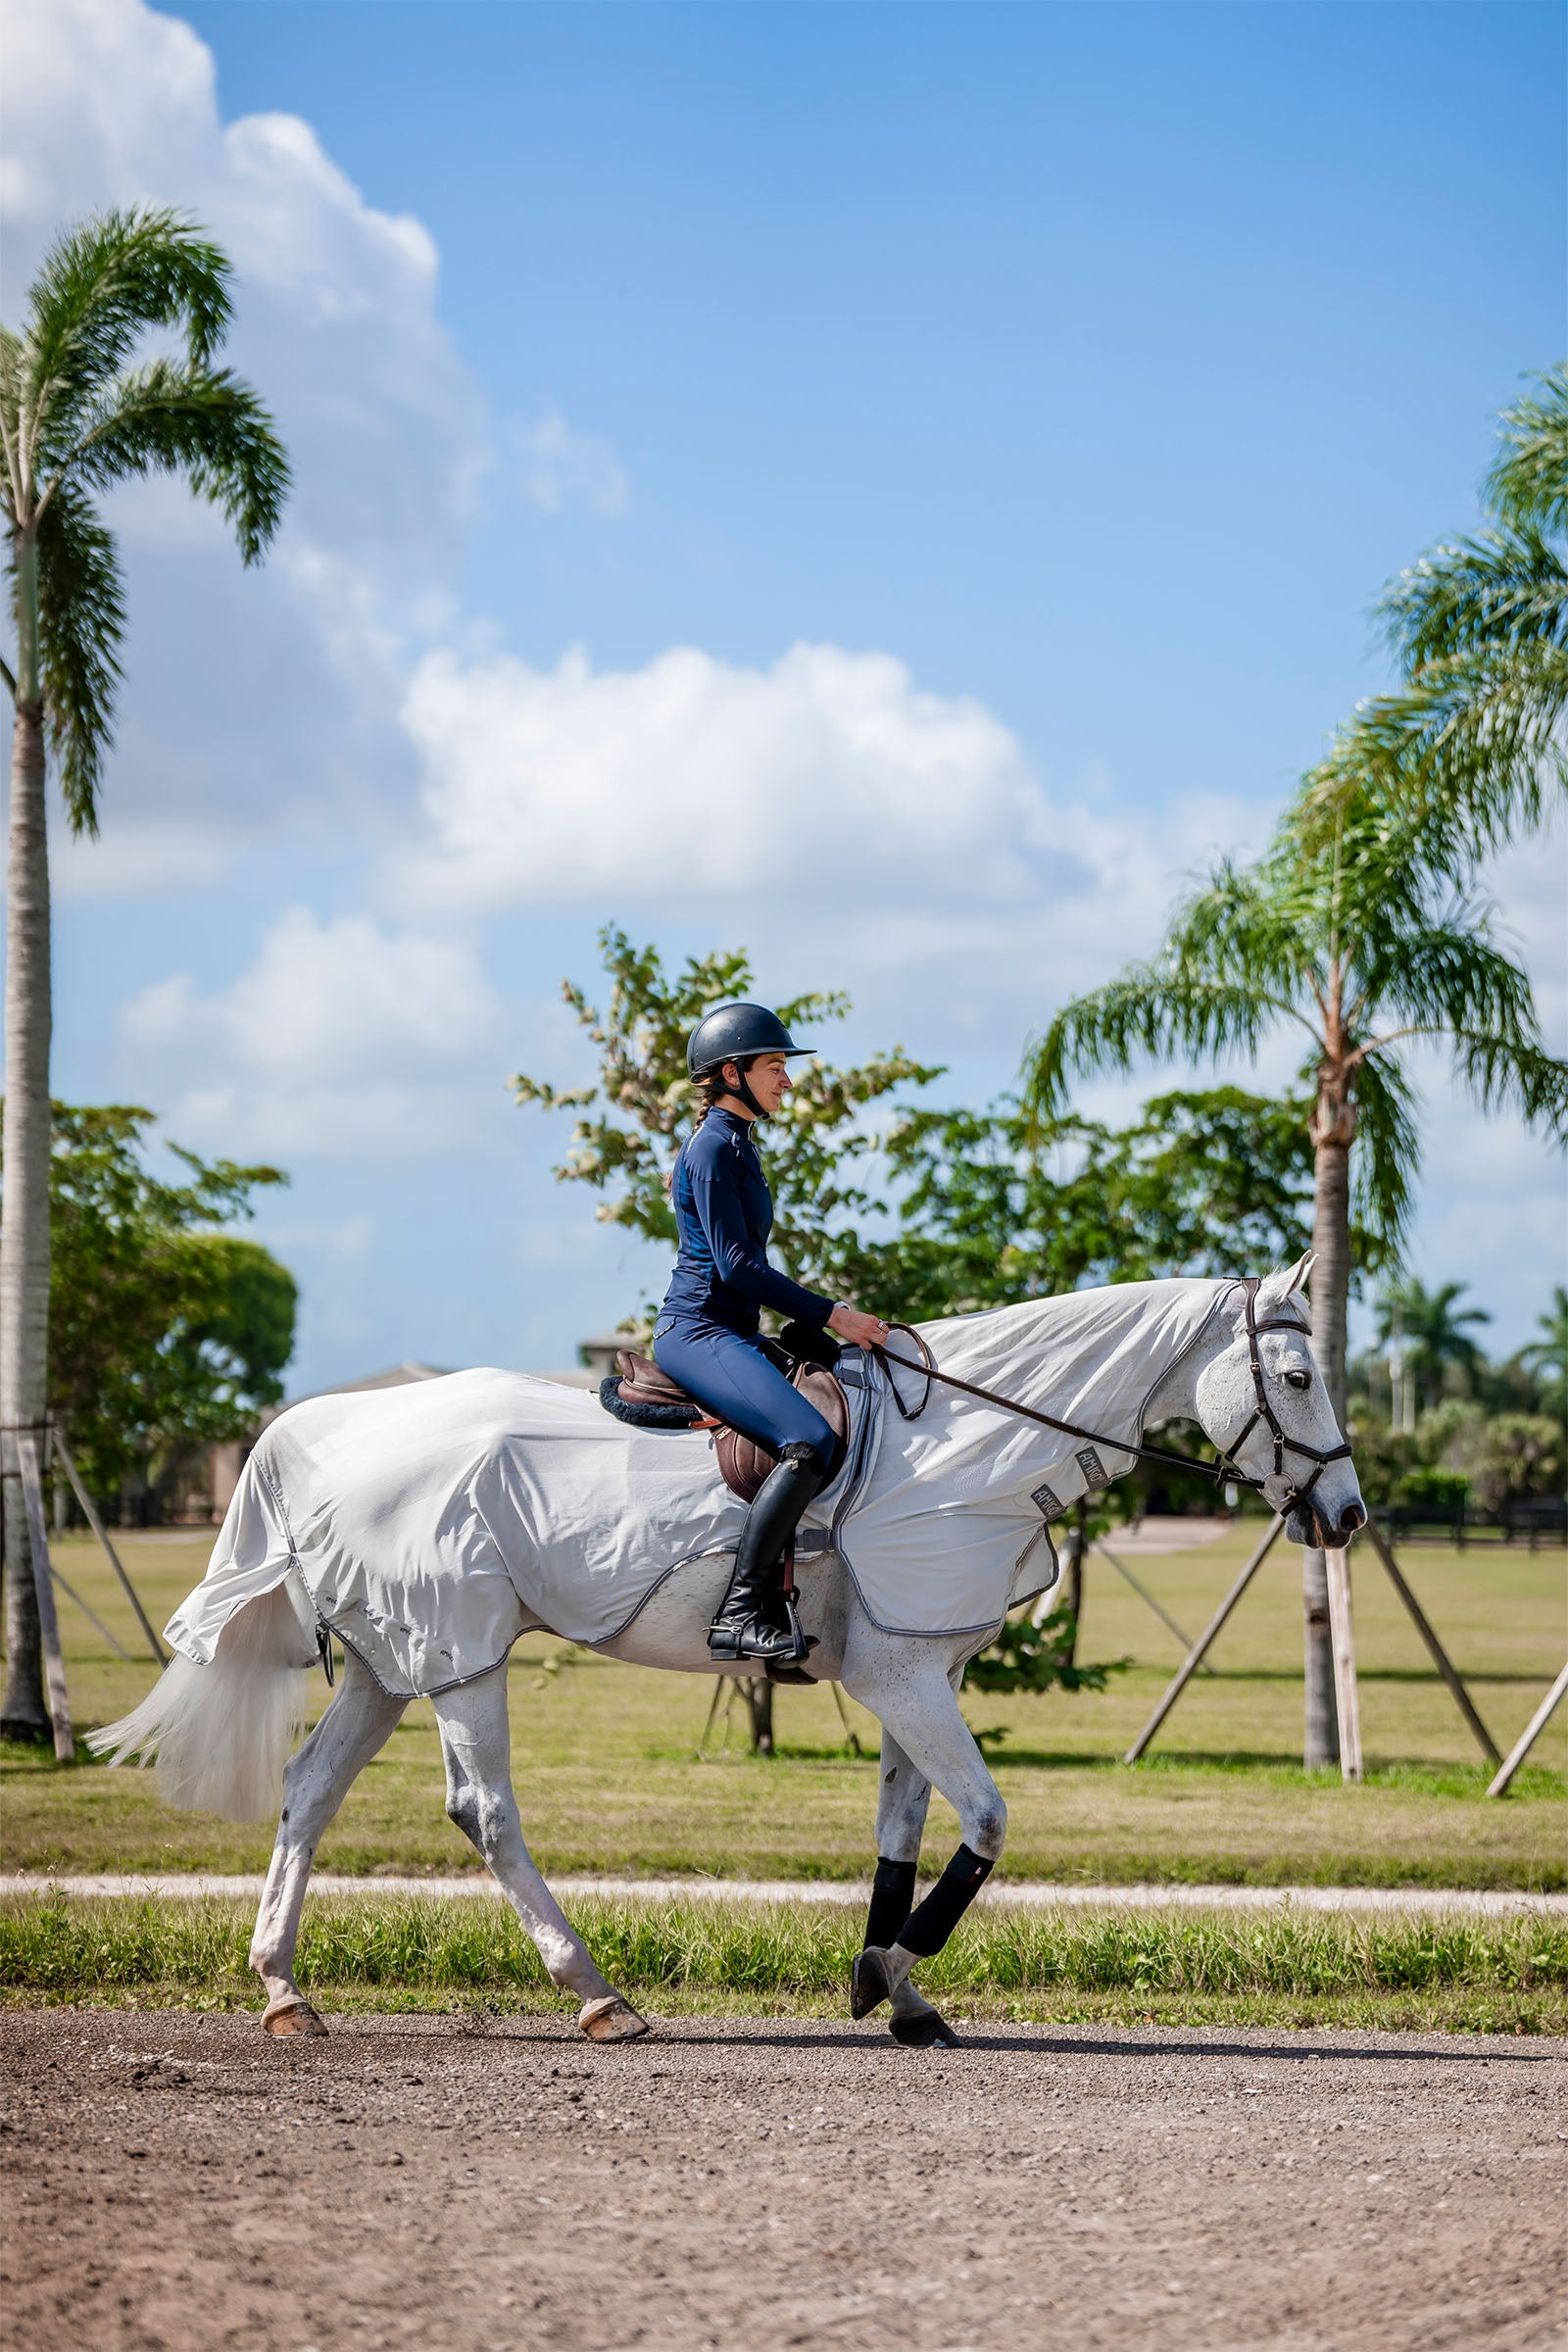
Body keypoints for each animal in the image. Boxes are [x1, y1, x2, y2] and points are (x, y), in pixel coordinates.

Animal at [93, 1259, 1364, 2050]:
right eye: (1299, 1377)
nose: (1346, 1516)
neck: (967, 1439)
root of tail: (333, 1425)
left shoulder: (917, 1667)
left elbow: (904, 1827)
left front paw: (891, 1986)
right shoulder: (902, 1676)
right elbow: (987, 1820)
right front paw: (897, 1974)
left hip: (386, 1661)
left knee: (310, 1792)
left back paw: (283, 1990)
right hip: (460, 1655)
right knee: (484, 1812)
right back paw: (595, 1994)